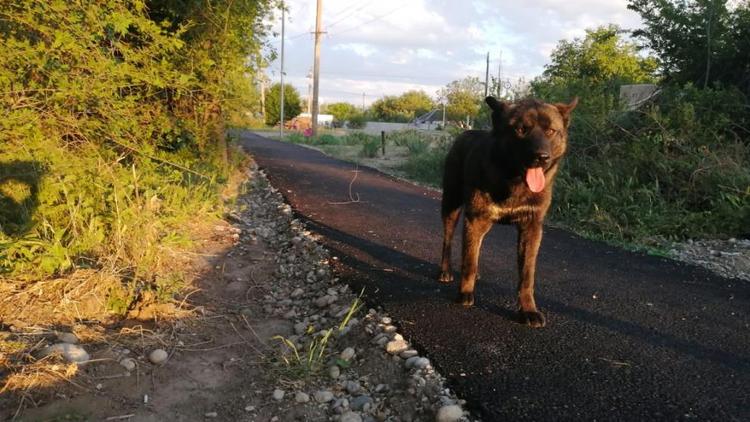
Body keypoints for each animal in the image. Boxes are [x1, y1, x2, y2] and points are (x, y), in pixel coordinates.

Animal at [438, 95, 580, 326]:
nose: (542, 157)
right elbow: (469, 262)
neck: (514, 182)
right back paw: (446, 270)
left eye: (550, 131)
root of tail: (466, 132)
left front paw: (528, 310)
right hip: (451, 207)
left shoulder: (531, 229)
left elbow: (527, 276)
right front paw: (465, 293)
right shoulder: (475, 219)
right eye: (521, 129)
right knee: (448, 241)